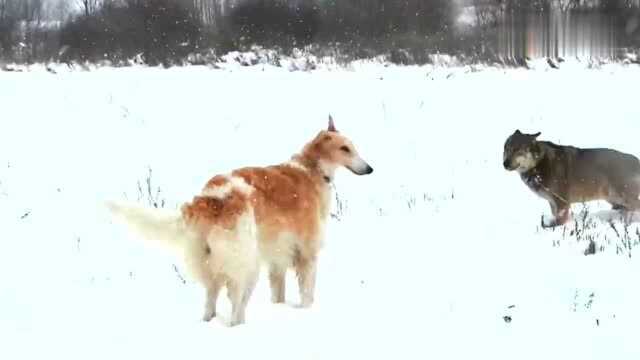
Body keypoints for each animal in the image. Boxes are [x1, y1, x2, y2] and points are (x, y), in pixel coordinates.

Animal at [107, 116, 372, 328]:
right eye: (345, 148)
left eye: (353, 147)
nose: (369, 169)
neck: (310, 169)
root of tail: (211, 198)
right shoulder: (307, 253)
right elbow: (308, 294)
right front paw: (306, 312)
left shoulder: (277, 259)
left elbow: (278, 293)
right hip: (247, 266)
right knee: (236, 310)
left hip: (211, 266)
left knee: (210, 305)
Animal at [502, 130, 640, 228]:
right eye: (507, 149)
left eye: (518, 150)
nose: (505, 164)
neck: (539, 164)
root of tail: (636, 160)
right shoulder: (552, 202)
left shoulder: (561, 202)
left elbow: (560, 220)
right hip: (614, 199)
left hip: (622, 197)